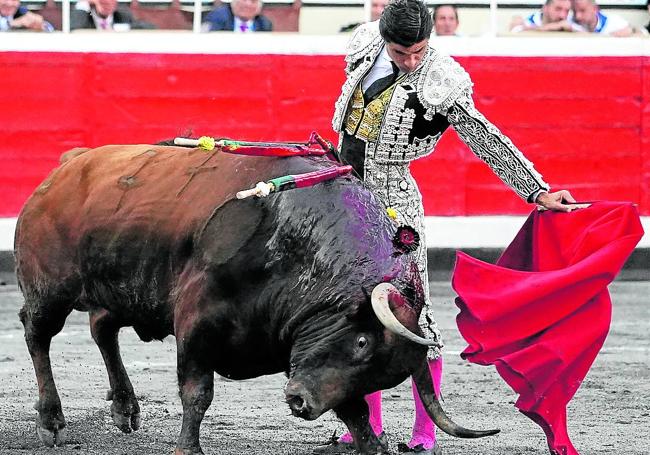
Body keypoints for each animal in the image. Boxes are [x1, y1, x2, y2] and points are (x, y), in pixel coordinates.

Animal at [15, 144, 494, 454]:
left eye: (382, 376)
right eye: (362, 341)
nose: (301, 402)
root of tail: (68, 165)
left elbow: (355, 414)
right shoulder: (196, 320)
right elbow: (197, 392)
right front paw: (188, 449)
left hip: (119, 289)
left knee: (102, 329)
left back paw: (125, 409)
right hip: (51, 289)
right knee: (37, 334)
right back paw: (50, 420)